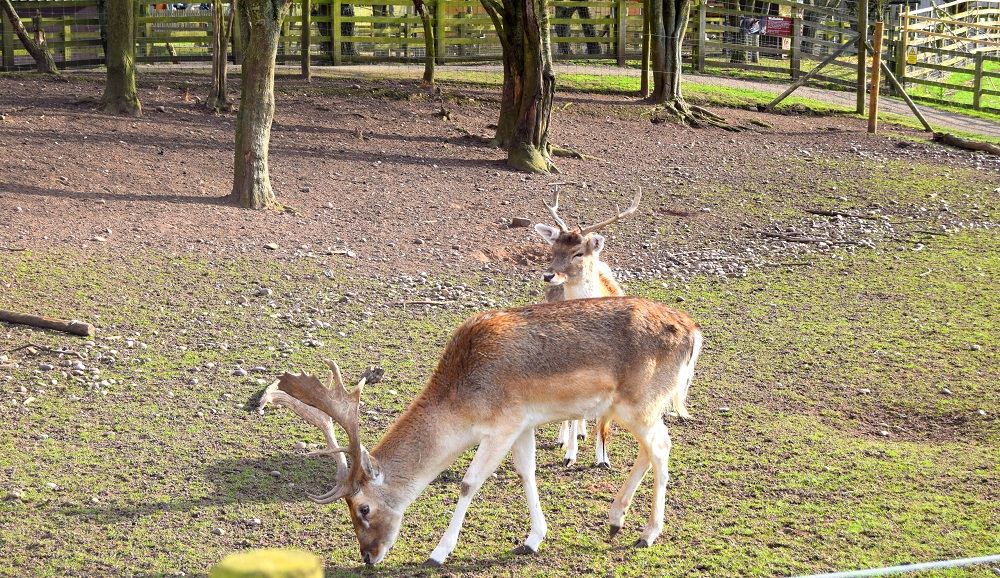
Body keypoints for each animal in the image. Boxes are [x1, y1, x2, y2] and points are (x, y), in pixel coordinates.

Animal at [262, 296, 702, 566]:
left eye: (363, 508)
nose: (368, 557)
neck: (463, 399)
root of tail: (693, 331)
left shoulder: (502, 424)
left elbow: (469, 483)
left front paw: (438, 552)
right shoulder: (522, 422)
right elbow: (527, 472)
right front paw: (532, 539)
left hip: (640, 403)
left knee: (662, 446)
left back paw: (648, 533)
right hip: (638, 408)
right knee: (650, 450)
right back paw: (614, 520)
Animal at [533, 188, 643, 468]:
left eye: (578, 253)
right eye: (553, 249)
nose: (548, 275)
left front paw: (603, 457)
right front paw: (570, 455)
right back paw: (565, 439)